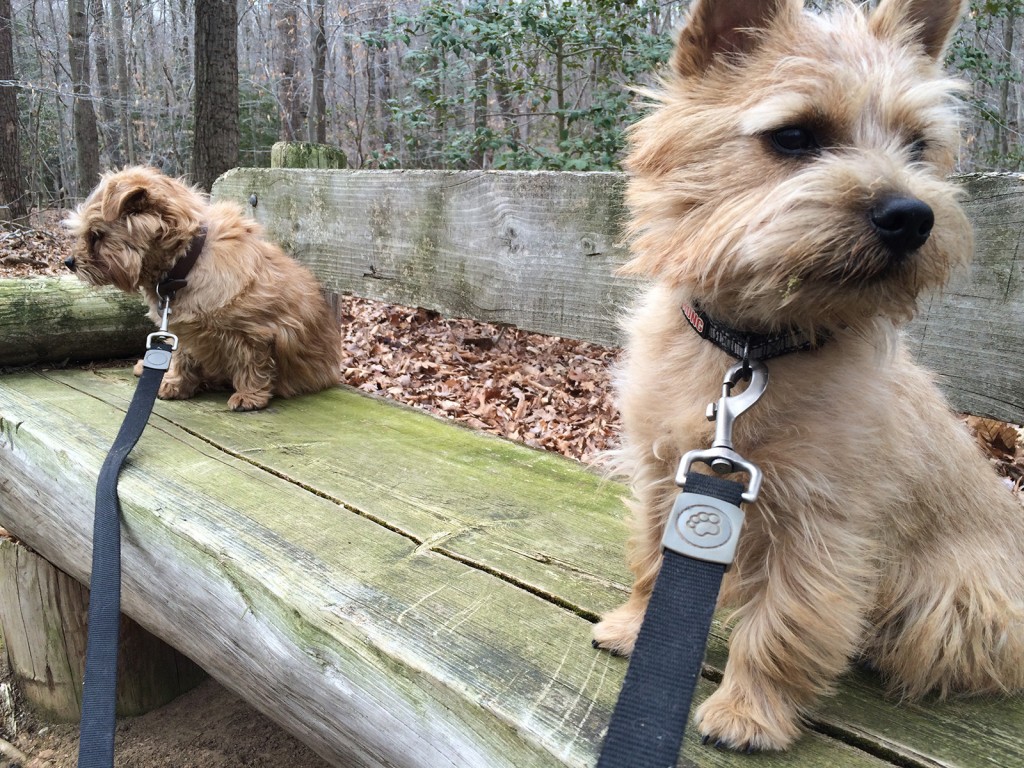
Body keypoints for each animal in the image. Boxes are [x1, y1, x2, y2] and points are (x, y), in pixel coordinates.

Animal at [66, 165, 342, 411]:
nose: (69, 262)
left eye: (96, 235)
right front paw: (175, 383)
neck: (185, 264)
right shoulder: (185, 333)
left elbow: (252, 363)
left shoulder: (254, 332)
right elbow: (182, 358)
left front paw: (249, 395)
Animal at [593, 0, 1024, 753]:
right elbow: (653, 559)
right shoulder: (663, 476)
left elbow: (784, 623)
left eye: (918, 147)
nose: (913, 215)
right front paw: (633, 626)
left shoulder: (820, 521)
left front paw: (748, 712)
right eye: (794, 136)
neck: (755, 351)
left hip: (957, 598)